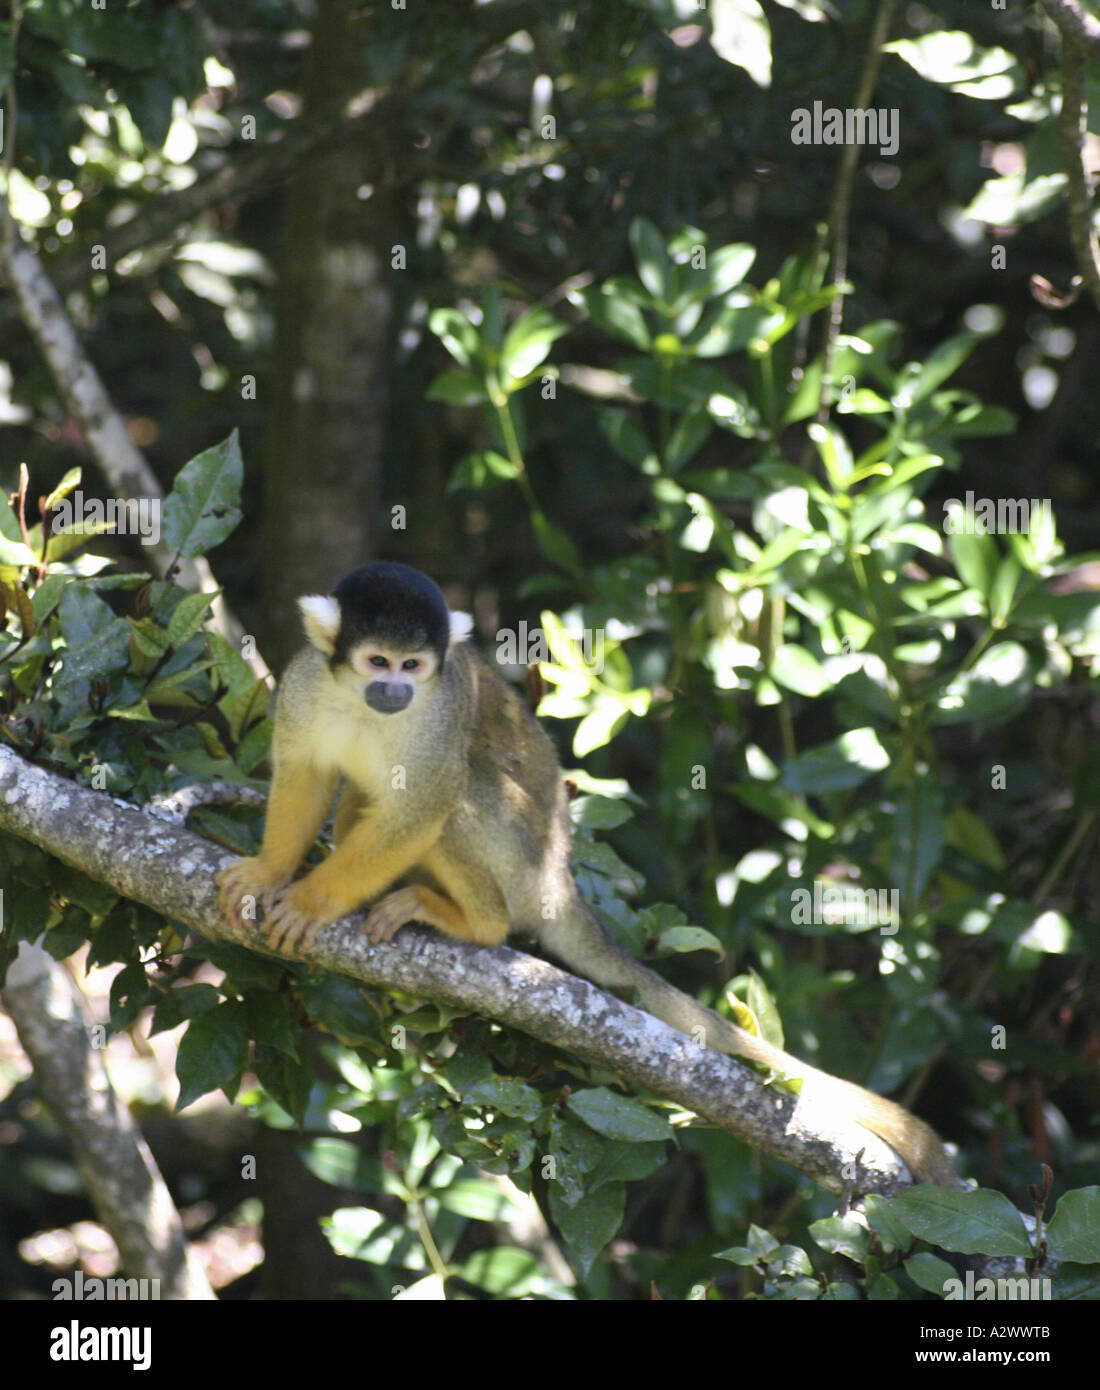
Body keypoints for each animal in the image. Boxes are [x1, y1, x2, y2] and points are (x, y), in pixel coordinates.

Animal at [216, 562, 962, 1189]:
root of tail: (561, 880)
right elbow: (306, 775)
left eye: (414, 665)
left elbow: (422, 806)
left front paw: (312, 902)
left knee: (462, 789)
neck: (361, 700)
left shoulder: (439, 712)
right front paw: (270, 872)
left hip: (524, 859)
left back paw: (473, 921)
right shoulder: (305, 684)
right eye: (377, 660)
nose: (396, 689)